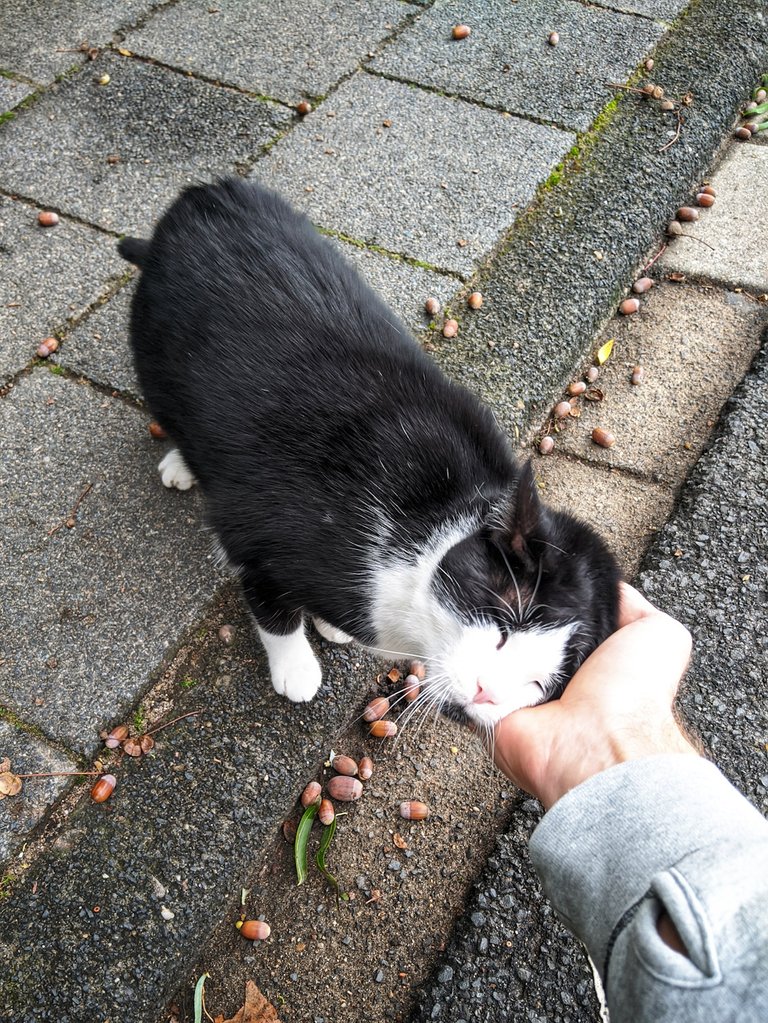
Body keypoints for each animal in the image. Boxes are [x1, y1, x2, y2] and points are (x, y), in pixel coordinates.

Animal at [117, 180, 617, 732]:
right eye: (504, 626)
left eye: (537, 686)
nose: (487, 693)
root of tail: (198, 197)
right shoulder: (255, 527)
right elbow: (271, 606)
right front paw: (296, 666)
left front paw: (331, 624)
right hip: (157, 357)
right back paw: (181, 465)